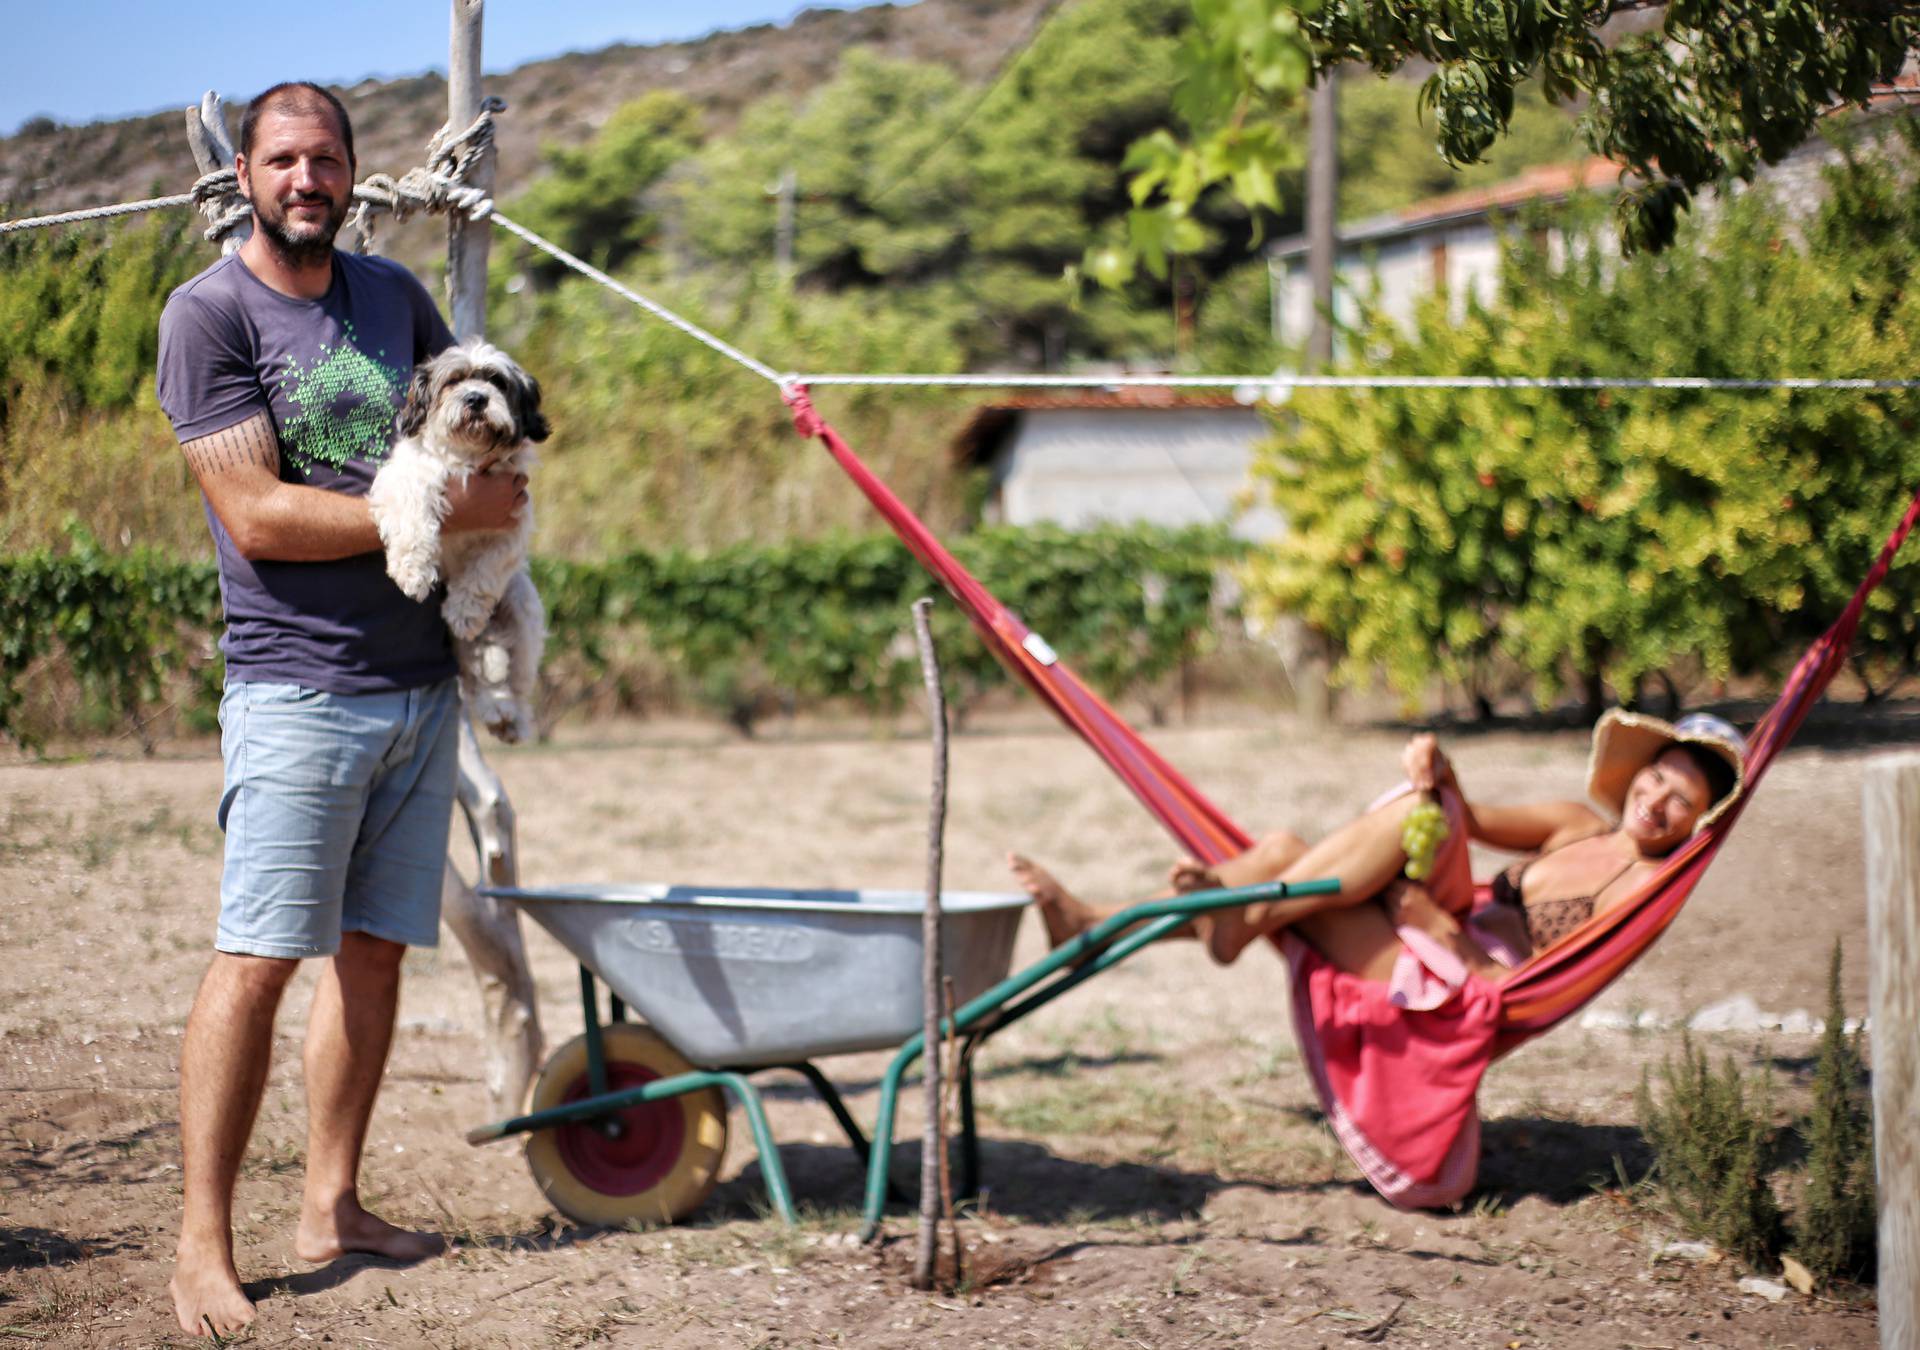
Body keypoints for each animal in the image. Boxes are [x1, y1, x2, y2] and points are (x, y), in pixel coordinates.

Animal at [370, 336, 549, 737]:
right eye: (453, 381)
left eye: (496, 381)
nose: (476, 398)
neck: (469, 458)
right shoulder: (406, 478)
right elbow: (413, 518)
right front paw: (413, 573)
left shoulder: (511, 528)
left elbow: (484, 570)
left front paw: (464, 612)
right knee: (475, 675)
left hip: (522, 612)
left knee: (510, 680)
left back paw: (509, 715)